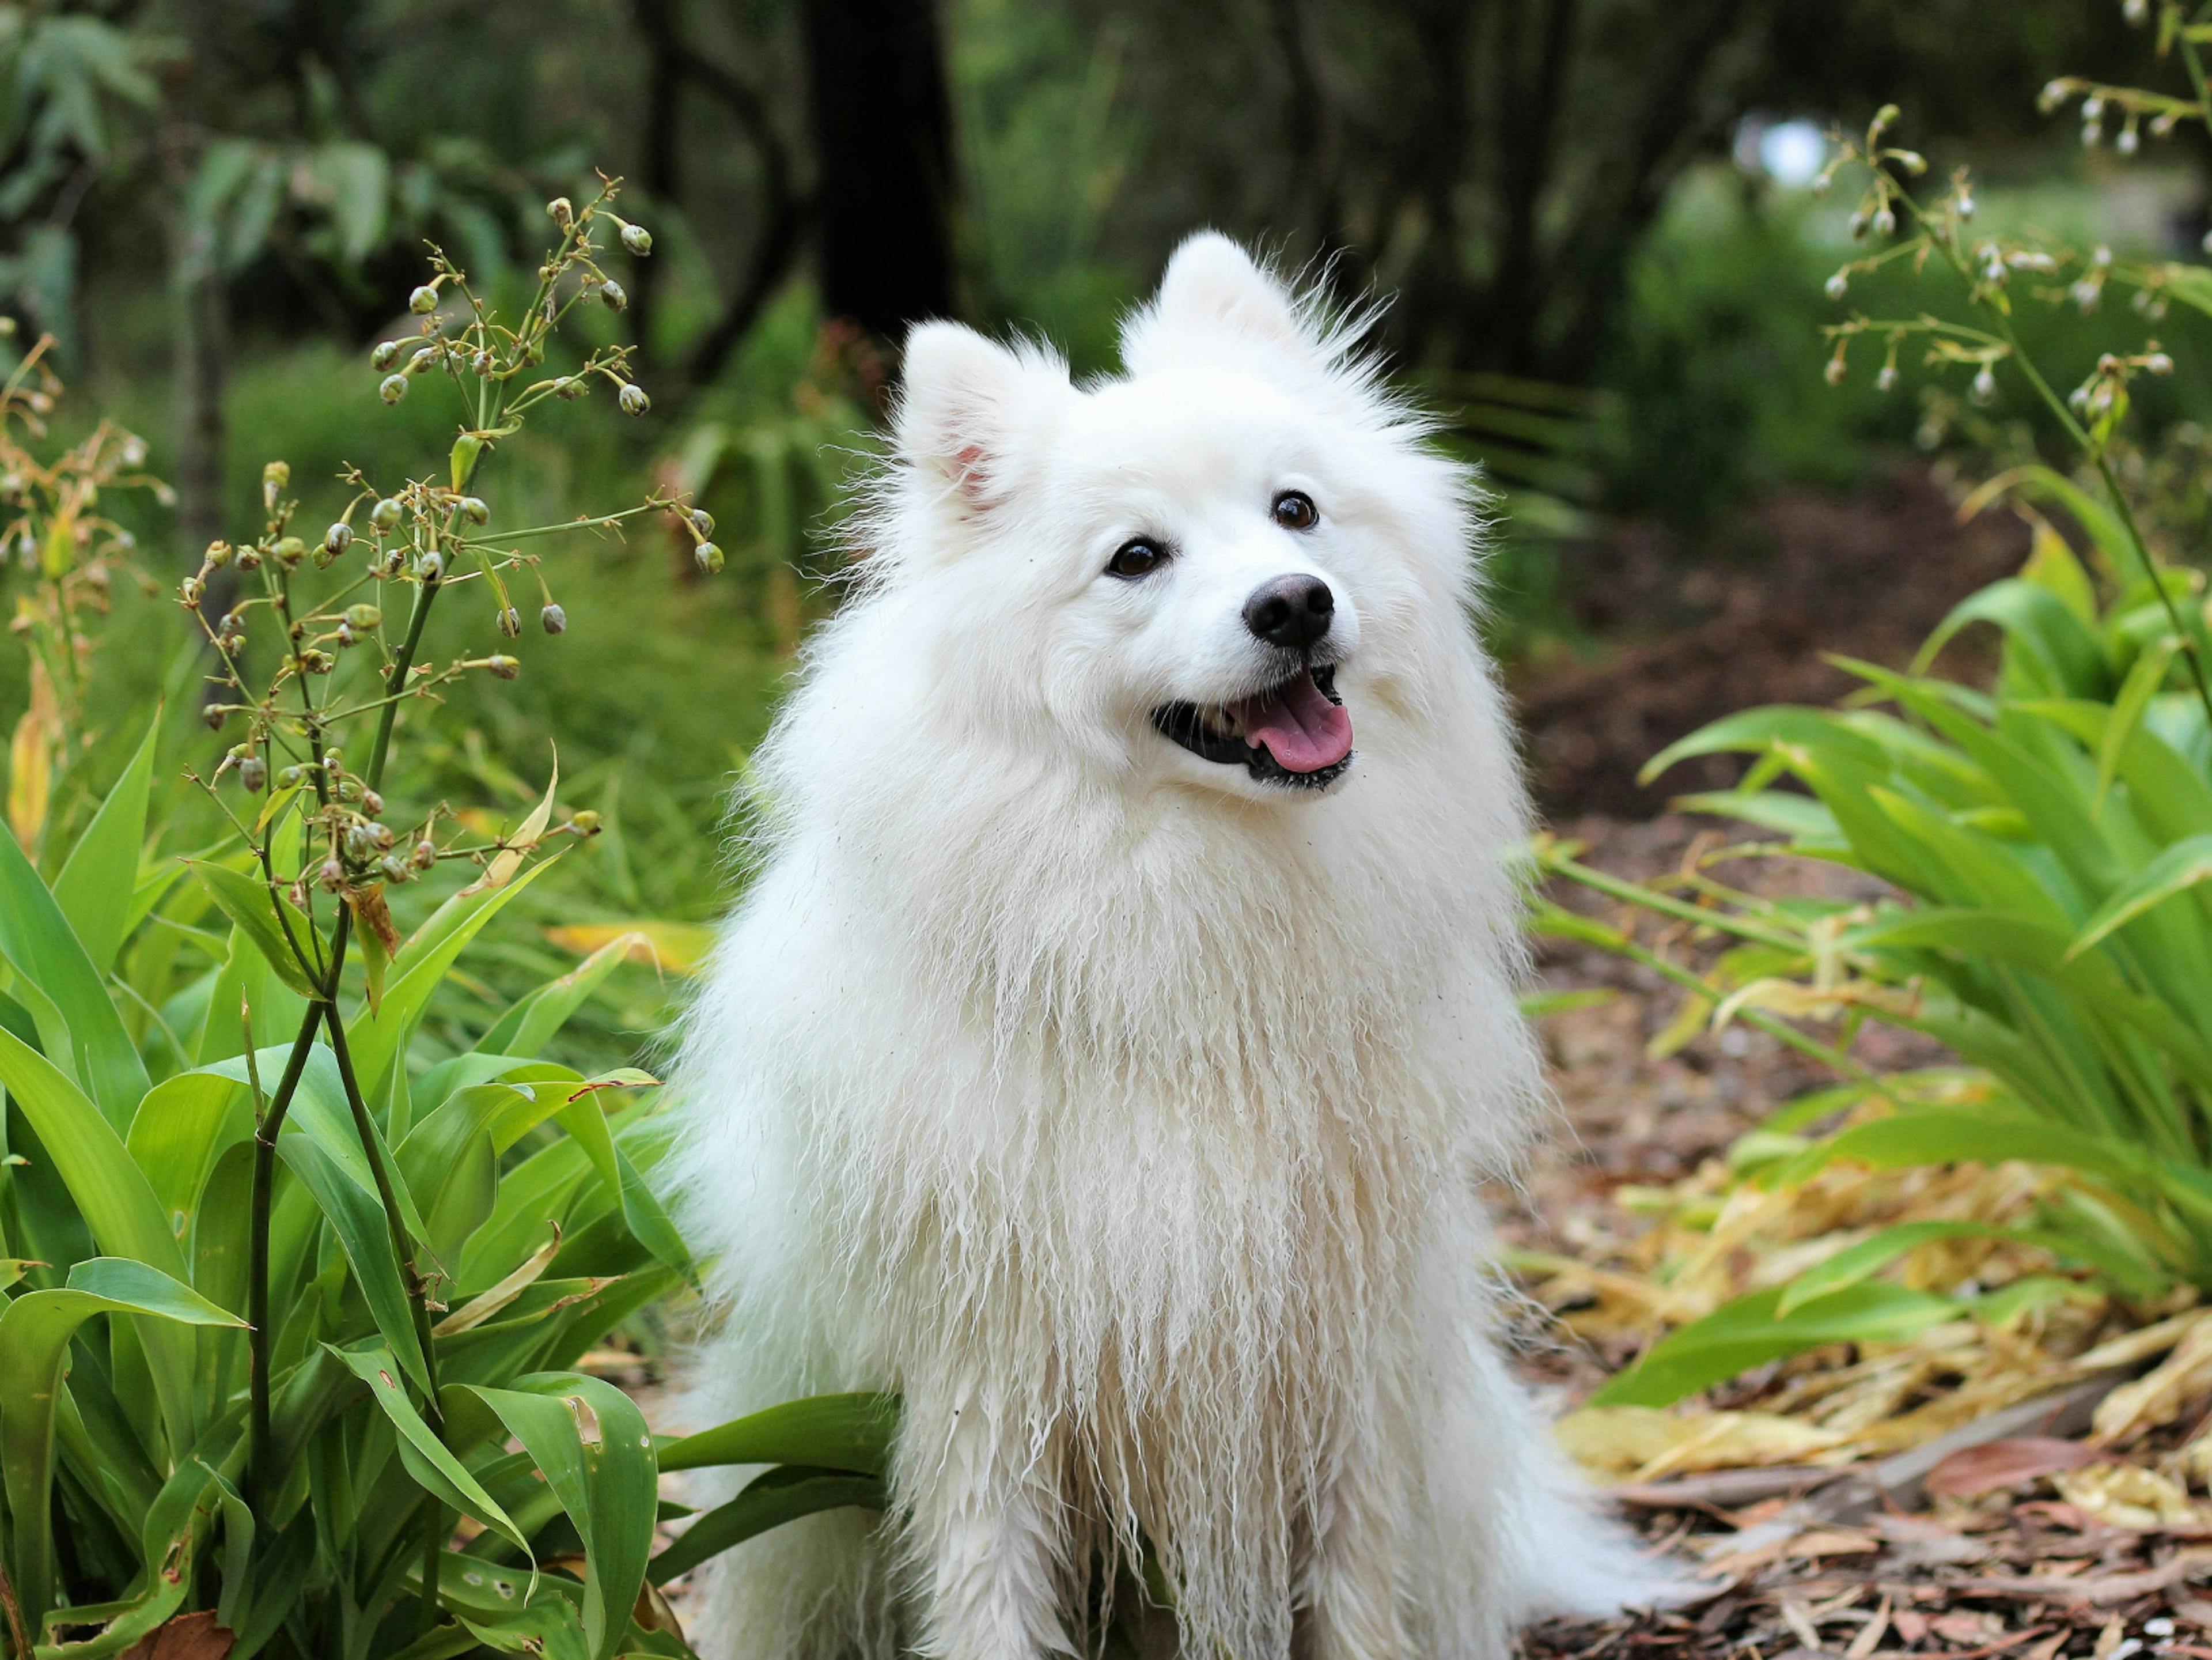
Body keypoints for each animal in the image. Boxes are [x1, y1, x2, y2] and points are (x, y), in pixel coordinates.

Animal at [664, 235, 1663, 1660]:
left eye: (1296, 511)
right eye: (1136, 557)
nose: (1295, 603)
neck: (1196, 903)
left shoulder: (1337, 1353)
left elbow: (1355, 1593)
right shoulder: (991, 1373)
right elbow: (991, 1595)